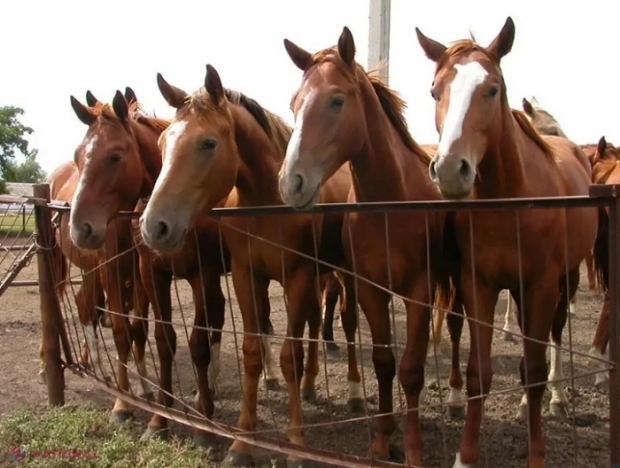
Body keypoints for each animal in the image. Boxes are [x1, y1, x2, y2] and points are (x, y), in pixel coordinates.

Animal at [139, 66, 364, 468]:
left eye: (208, 143)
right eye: (163, 142)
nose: (154, 226)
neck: (267, 203)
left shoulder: (297, 276)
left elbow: (289, 355)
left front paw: (296, 443)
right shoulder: (248, 277)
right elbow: (253, 352)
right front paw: (242, 442)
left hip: (341, 274)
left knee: (348, 324)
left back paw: (354, 392)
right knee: (311, 323)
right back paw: (309, 386)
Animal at [278, 28, 462, 464]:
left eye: (336, 100)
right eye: (294, 103)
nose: (290, 183)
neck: (390, 205)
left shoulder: (418, 291)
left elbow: (410, 370)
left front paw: (412, 449)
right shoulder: (370, 291)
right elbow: (383, 362)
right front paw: (381, 441)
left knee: (456, 327)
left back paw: (456, 398)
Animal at [418, 16, 600, 466]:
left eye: (492, 88)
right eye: (435, 90)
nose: (451, 169)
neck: (511, 201)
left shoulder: (541, 285)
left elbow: (533, 372)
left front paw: (536, 452)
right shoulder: (478, 284)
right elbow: (479, 373)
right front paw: (465, 455)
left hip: (565, 279)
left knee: (554, 336)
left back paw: (557, 399)